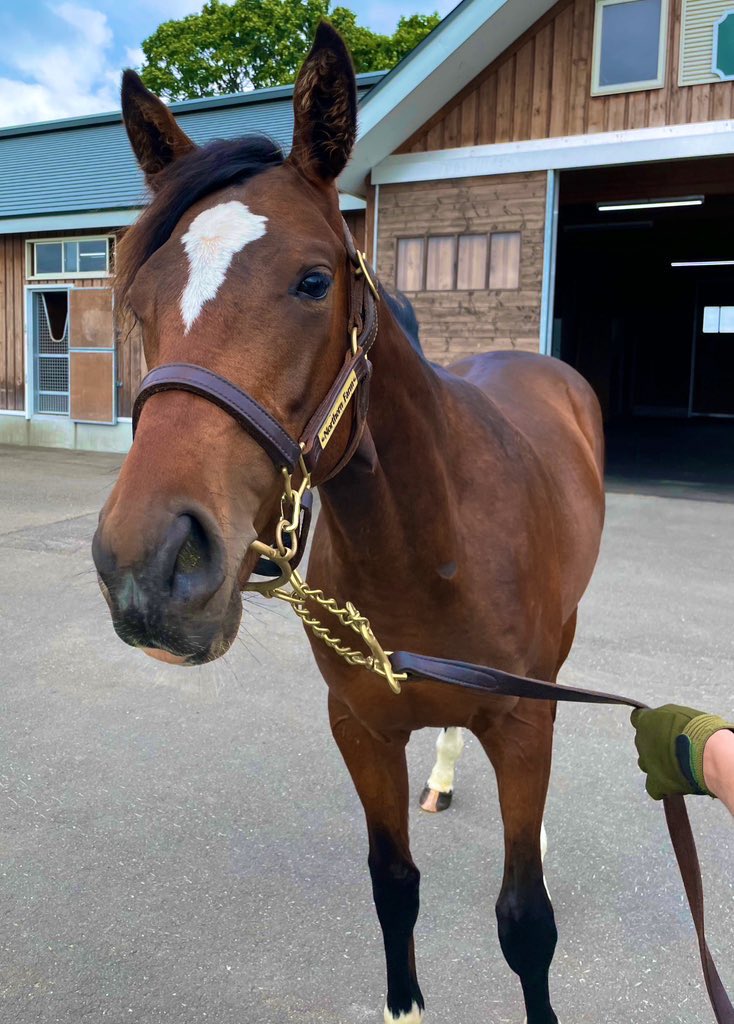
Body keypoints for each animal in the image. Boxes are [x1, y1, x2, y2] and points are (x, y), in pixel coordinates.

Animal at [92, 23, 605, 1024]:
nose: (148, 567)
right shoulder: (362, 730)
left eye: (314, 280)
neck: (435, 549)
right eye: (137, 300)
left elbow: (526, 923)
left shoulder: (524, 728)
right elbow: (392, 887)